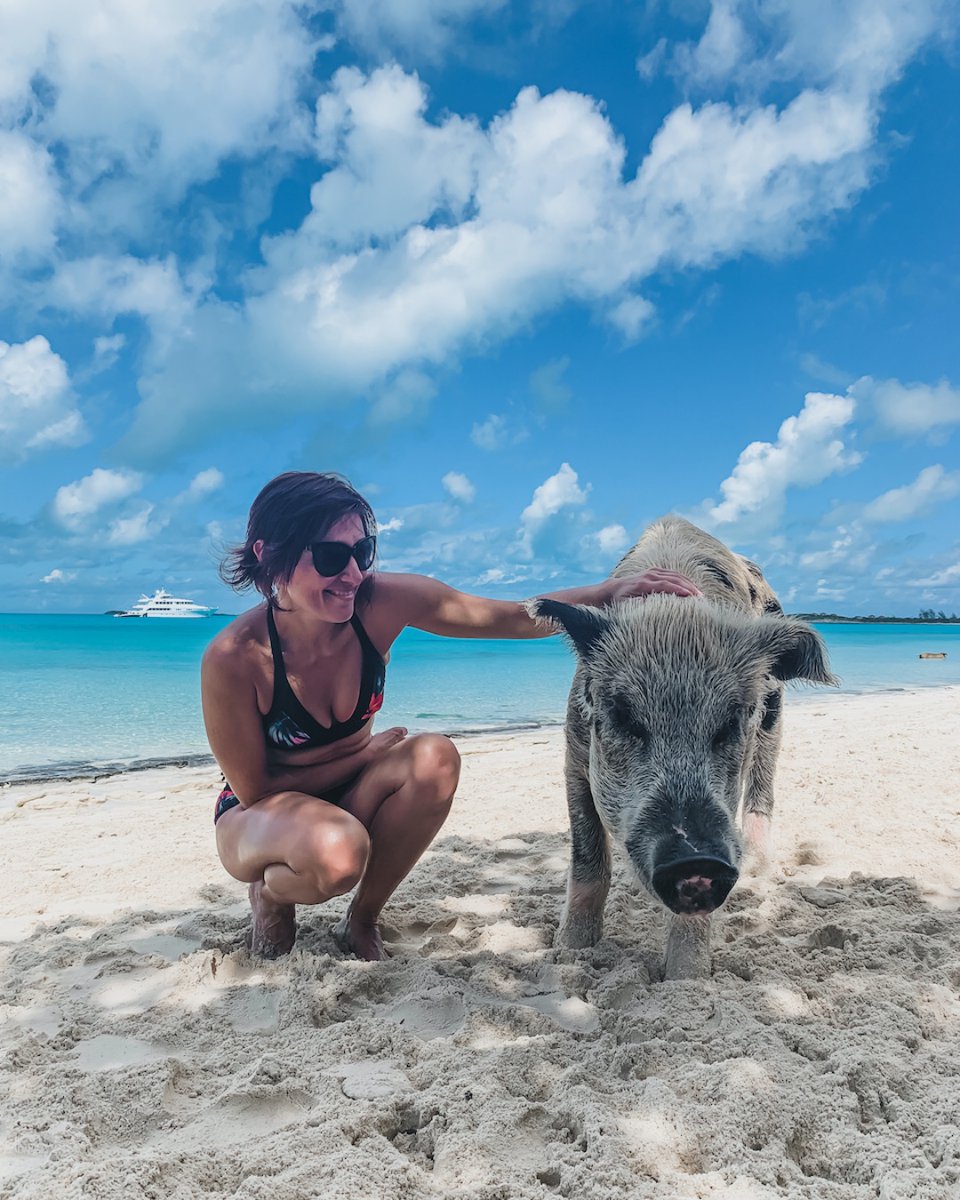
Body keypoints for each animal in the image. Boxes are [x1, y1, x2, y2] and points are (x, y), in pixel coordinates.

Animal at [532, 515, 836, 980]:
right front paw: (568, 951)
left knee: (763, 790)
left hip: (774, 717)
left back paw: (760, 869)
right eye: (622, 717)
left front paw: (686, 979)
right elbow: (587, 859)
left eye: (728, 724)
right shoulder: (574, 753)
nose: (697, 863)